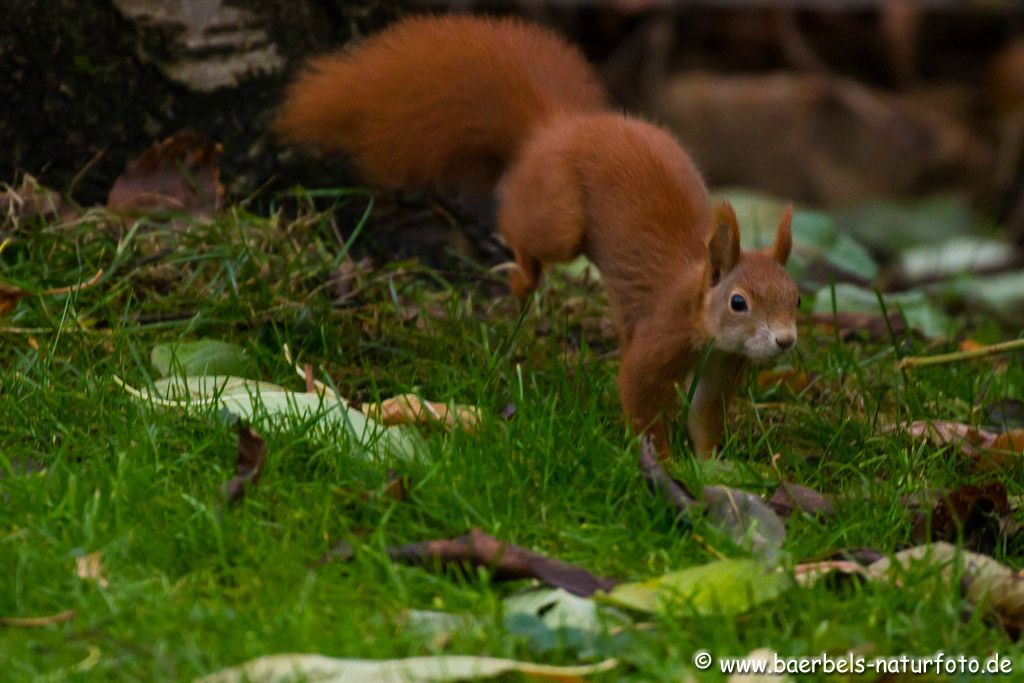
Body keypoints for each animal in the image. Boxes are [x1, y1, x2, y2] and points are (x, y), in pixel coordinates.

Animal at [278, 13, 798, 458]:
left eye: (794, 298)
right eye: (738, 302)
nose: (786, 341)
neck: (699, 306)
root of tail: (558, 126)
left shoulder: (724, 365)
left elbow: (705, 416)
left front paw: (713, 466)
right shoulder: (661, 334)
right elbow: (640, 394)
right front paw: (663, 462)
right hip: (559, 213)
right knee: (518, 222)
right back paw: (521, 275)